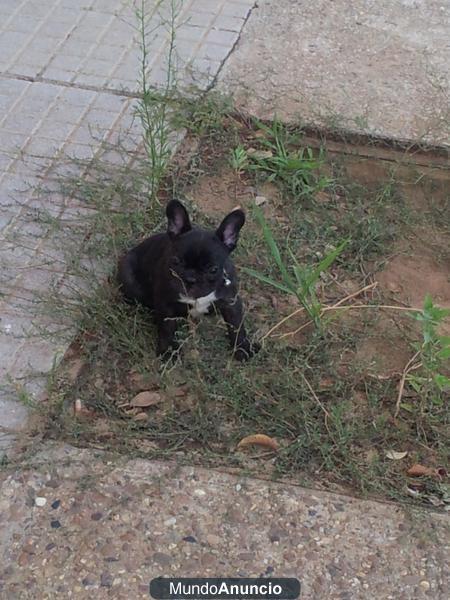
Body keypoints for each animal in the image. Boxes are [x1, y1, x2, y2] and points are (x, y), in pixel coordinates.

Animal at [118, 200, 258, 360]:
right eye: (175, 261)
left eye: (213, 269)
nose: (190, 279)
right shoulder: (166, 304)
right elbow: (167, 329)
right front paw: (168, 351)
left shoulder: (231, 303)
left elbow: (237, 327)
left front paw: (243, 348)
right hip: (129, 280)